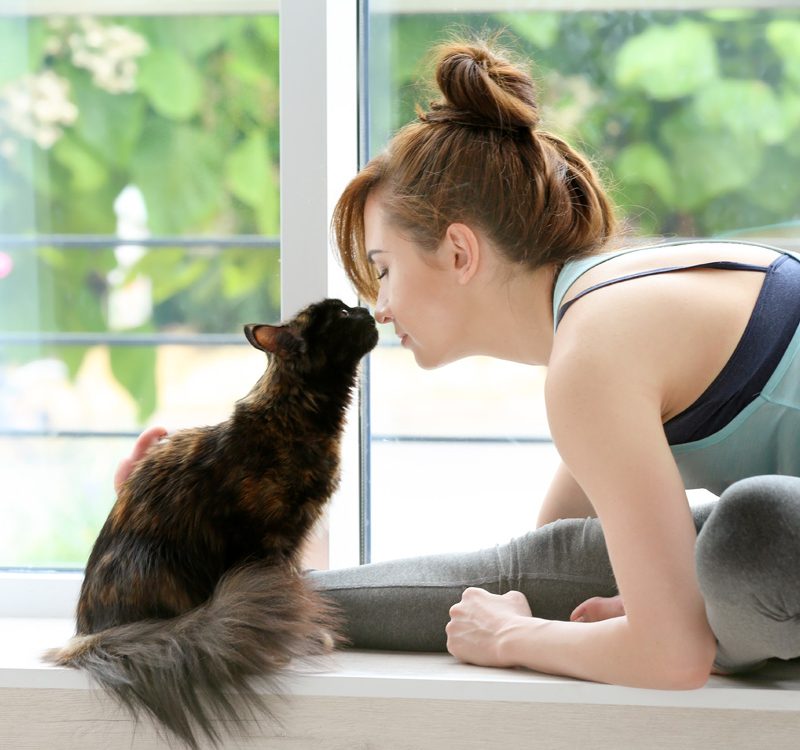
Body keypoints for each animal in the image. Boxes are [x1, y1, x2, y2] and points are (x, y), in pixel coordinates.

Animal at [43, 300, 378, 750]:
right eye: (340, 315)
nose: (367, 312)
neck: (295, 414)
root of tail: (88, 635)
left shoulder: (289, 541)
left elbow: (286, 588)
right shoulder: (263, 539)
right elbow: (279, 591)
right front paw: (288, 643)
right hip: (160, 562)